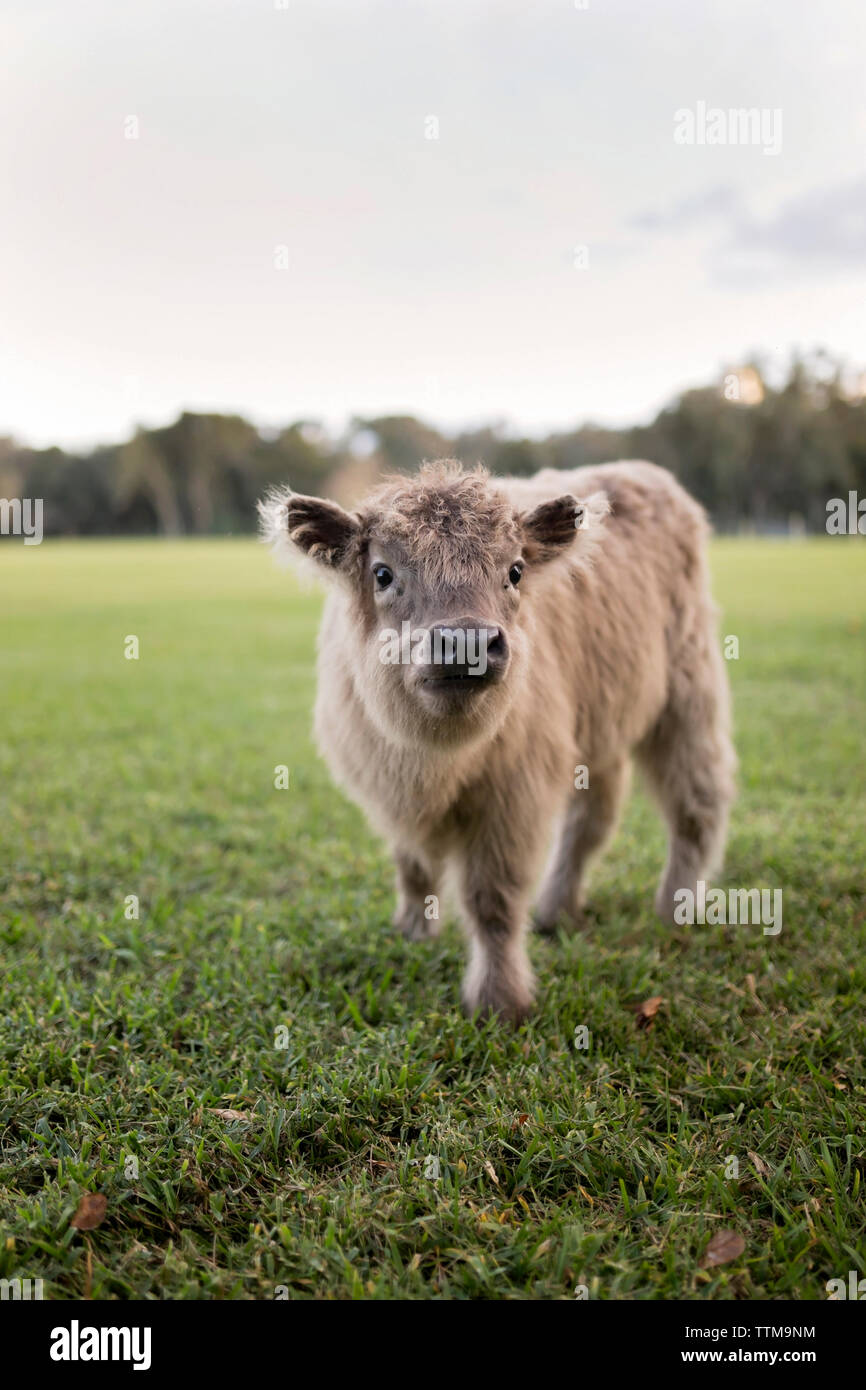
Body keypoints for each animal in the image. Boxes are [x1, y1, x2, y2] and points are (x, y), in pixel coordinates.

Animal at [261, 461, 733, 1017]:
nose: (465, 641)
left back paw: (676, 905)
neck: (433, 760)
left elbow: (493, 901)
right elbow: (413, 865)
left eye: (515, 571)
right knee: (591, 819)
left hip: (687, 694)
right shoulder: (388, 787)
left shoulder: (514, 795)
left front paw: (500, 999)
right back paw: (556, 910)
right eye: (382, 573)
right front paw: (414, 931)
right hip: (600, 722)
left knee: (696, 802)